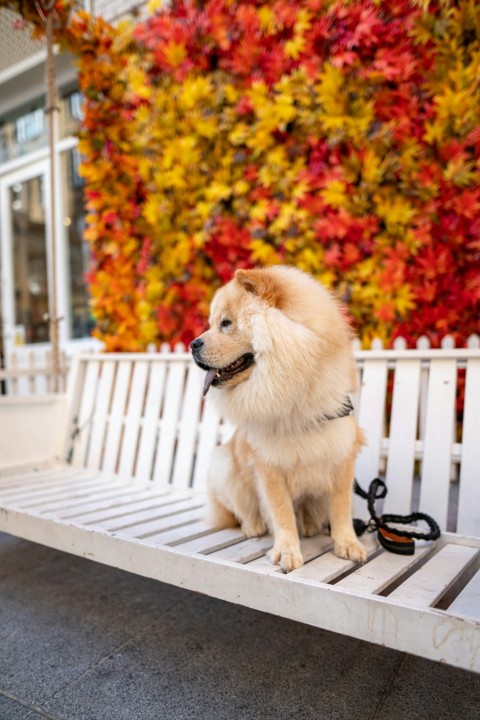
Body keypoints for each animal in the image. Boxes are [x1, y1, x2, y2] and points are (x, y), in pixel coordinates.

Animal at [189, 266, 366, 572]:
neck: (294, 404)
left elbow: (341, 509)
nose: (193, 344)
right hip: (223, 465)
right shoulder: (268, 466)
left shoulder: (341, 456)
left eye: (226, 323)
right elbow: (282, 513)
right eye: (211, 323)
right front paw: (287, 552)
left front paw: (347, 544)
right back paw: (254, 527)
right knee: (242, 511)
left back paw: (311, 526)